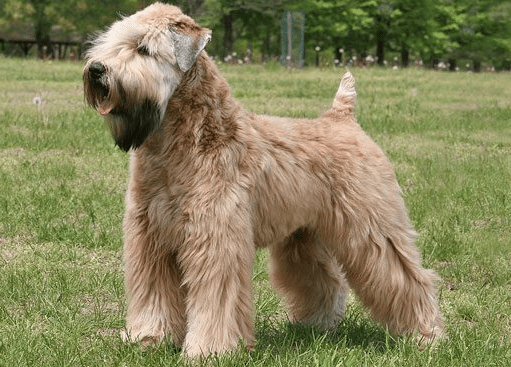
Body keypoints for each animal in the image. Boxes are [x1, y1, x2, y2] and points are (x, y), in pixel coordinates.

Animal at [84, 2, 444, 358]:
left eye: (143, 48)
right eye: (109, 42)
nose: (97, 69)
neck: (180, 141)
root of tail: (343, 119)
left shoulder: (216, 238)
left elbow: (216, 299)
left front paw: (209, 350)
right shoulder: (151, 237)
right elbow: (153, 294)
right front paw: (149, 338)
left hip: (373, 229)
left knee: (408, 279)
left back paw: (426, 335)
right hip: (304, 236)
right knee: (325, 280)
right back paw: (316, 325)